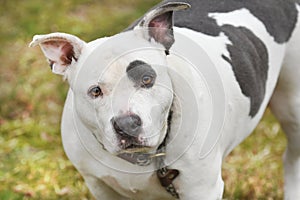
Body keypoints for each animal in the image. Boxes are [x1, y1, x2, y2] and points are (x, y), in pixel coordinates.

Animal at [29, 0, 300, 199]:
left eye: (147, 79)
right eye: (95, 91)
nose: (127, 125)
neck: (142, 158)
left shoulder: (202, 189)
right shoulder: (100, 186)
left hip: (293, 109)